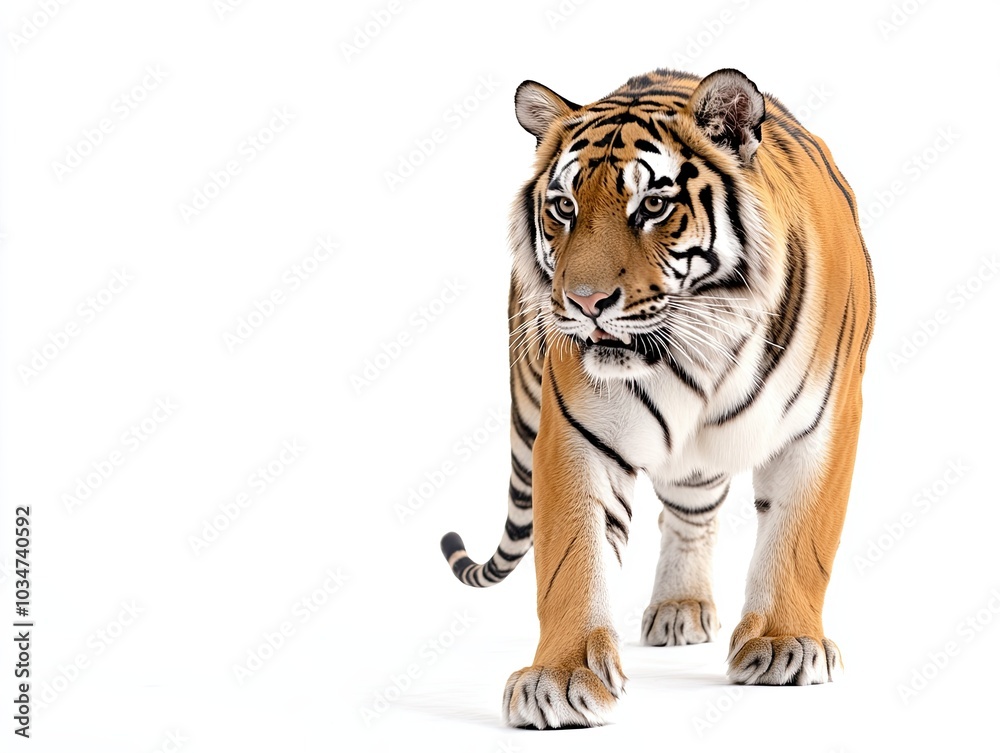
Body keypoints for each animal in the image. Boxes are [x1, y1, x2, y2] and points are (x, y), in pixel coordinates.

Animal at [439, 67, 875, 729]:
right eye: (563, 207)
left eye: (653, 206)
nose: (584, 302)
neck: (701, 344)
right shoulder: (577, 435)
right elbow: (572, 556)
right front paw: (561, 677)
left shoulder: (821, 426)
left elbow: (800, 537)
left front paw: (783, 645)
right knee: (687, 510)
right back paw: (679, 607)